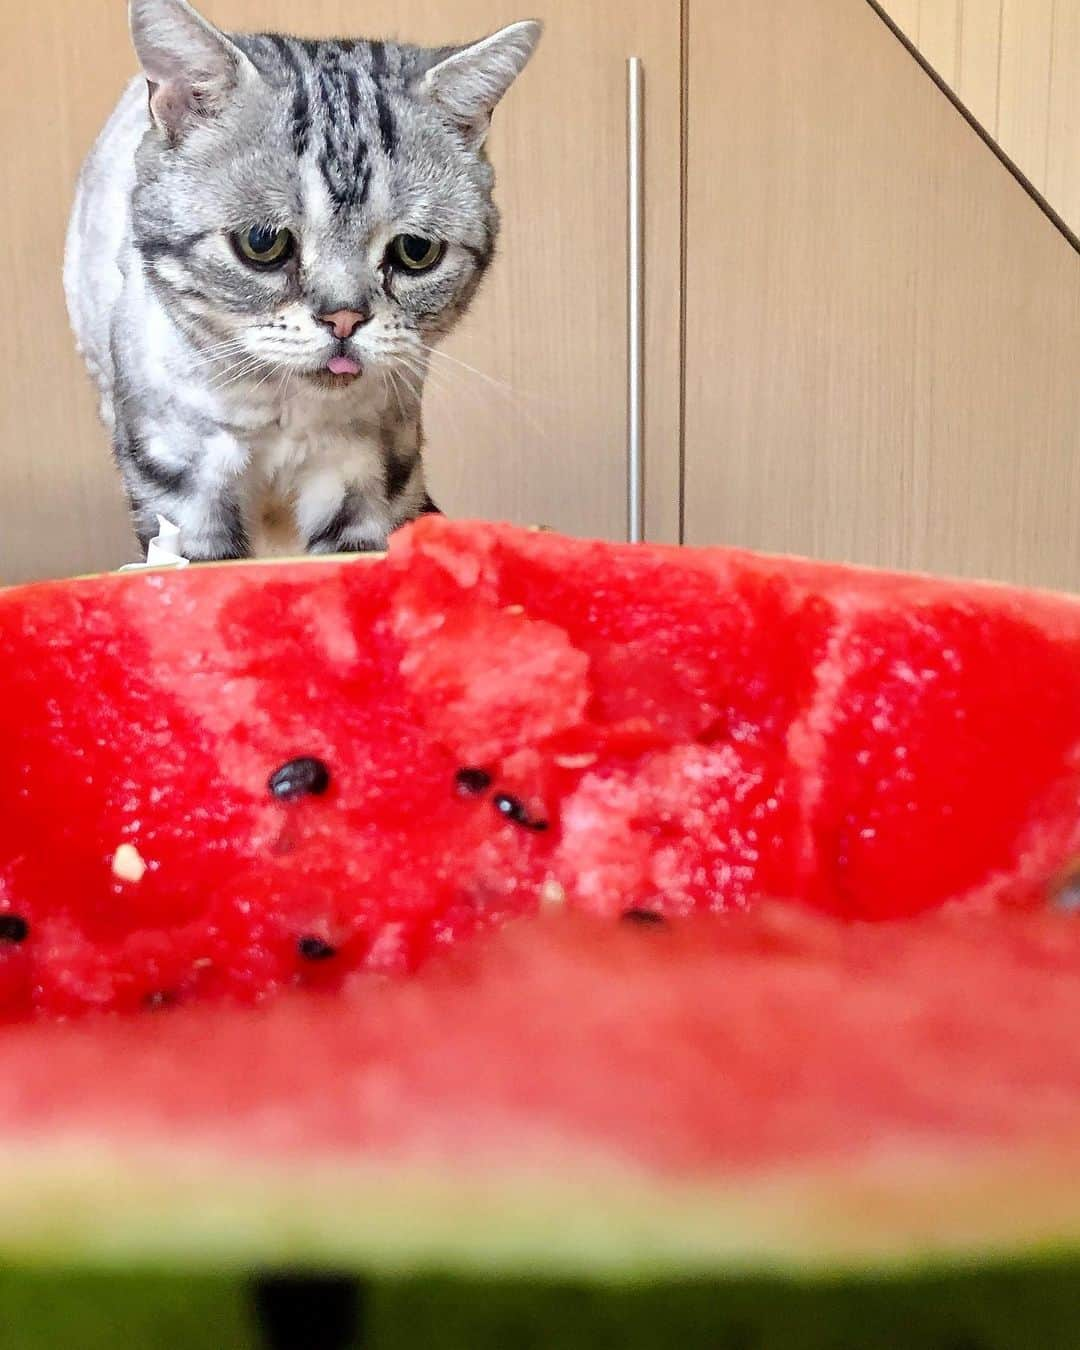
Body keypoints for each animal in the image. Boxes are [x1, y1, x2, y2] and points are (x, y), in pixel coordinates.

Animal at [65, 0, 540, 558]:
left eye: (416, 251)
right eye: (262, 242)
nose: (344, 318)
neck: (288, 417)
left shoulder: (367, 474)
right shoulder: (182, 480)